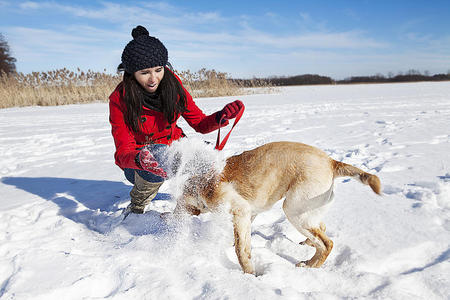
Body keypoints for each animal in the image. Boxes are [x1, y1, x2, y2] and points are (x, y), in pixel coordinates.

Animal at [172, 142, 380, 276]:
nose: (171, 218)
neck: (202, 184)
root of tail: (332, 162)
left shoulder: (241, 211)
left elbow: (241, 250)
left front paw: (249, 274)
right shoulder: (248, 215)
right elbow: (242, 241)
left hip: (294, 210)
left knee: (327, 243)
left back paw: (309, 266)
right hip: (306, 211)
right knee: (321, 230)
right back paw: (308, 245)